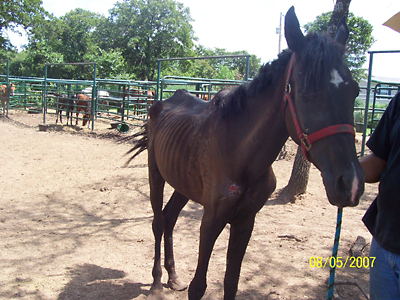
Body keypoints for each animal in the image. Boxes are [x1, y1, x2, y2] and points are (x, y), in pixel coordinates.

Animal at [128, 6, 366, 298]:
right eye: (305, 92)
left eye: (354, 91)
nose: (350, 184)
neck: (239, 153)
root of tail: (161, 104)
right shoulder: (211, 220)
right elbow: (198, 287)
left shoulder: (245, 221)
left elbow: (232, 281)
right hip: (156, 176)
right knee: (158, 222)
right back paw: (156, 282)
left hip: (183, 184)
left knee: (170, 218)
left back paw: (173, 277)